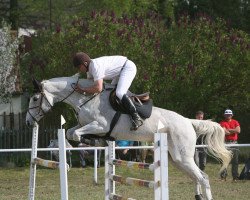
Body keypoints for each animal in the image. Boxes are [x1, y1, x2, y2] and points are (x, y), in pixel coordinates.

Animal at [26, 76, 231, 200]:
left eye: (35, 99)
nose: (29, 122)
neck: (85, 99)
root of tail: (188, 121)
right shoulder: (84, 125)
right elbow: (70, 132)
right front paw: (94, 141)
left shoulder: (100, 125)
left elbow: (76, 133)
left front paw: (93, 140)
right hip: (176, 159)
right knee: (197, 177)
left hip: (183, 157)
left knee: (203, 177)